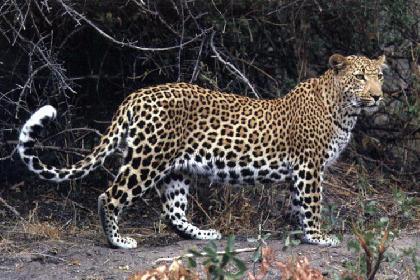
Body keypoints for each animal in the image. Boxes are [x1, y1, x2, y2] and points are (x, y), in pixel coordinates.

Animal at [18, 53, 386, 248]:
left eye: (379, 76)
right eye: (359, 77)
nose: (379, 96)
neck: (343, 108)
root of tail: (135, 96)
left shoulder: (301, 171)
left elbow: (299, 203)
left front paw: (302, 234)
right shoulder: (310, 167)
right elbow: (312, 205)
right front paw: (318, 237)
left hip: (175, 167)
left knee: (172, 211)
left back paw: (204, 234)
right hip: (147, 160)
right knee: (110, 196)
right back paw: (118, 241)